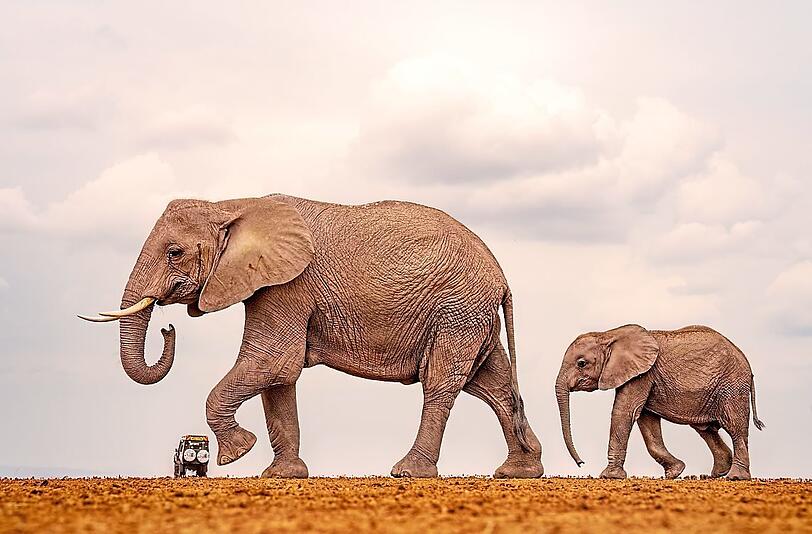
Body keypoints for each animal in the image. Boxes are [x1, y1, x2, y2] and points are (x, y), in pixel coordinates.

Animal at [80, 194, 543, 479]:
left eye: (174, 253)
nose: (167, 326)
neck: (232, 204)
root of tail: (502, 278)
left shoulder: (288, 285)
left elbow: (273, 361)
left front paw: (238, 452)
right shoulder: (271, 285)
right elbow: (278, 377)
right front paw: (281, 475)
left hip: (457, 310)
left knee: (442, 383)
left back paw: (408, 472)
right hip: (469, 314)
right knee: (493, 385)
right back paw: (519, 473)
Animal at [555, 324, 764, 480]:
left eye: (581, 363)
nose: (582, 463)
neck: (608, 334)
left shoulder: (642, 374)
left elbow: (624, 412)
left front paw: (609, 476)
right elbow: (646, 420)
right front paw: (675, 472)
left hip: (732, 387)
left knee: (735, 428)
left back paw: (735, 477)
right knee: (706, 430)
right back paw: (715, 474)